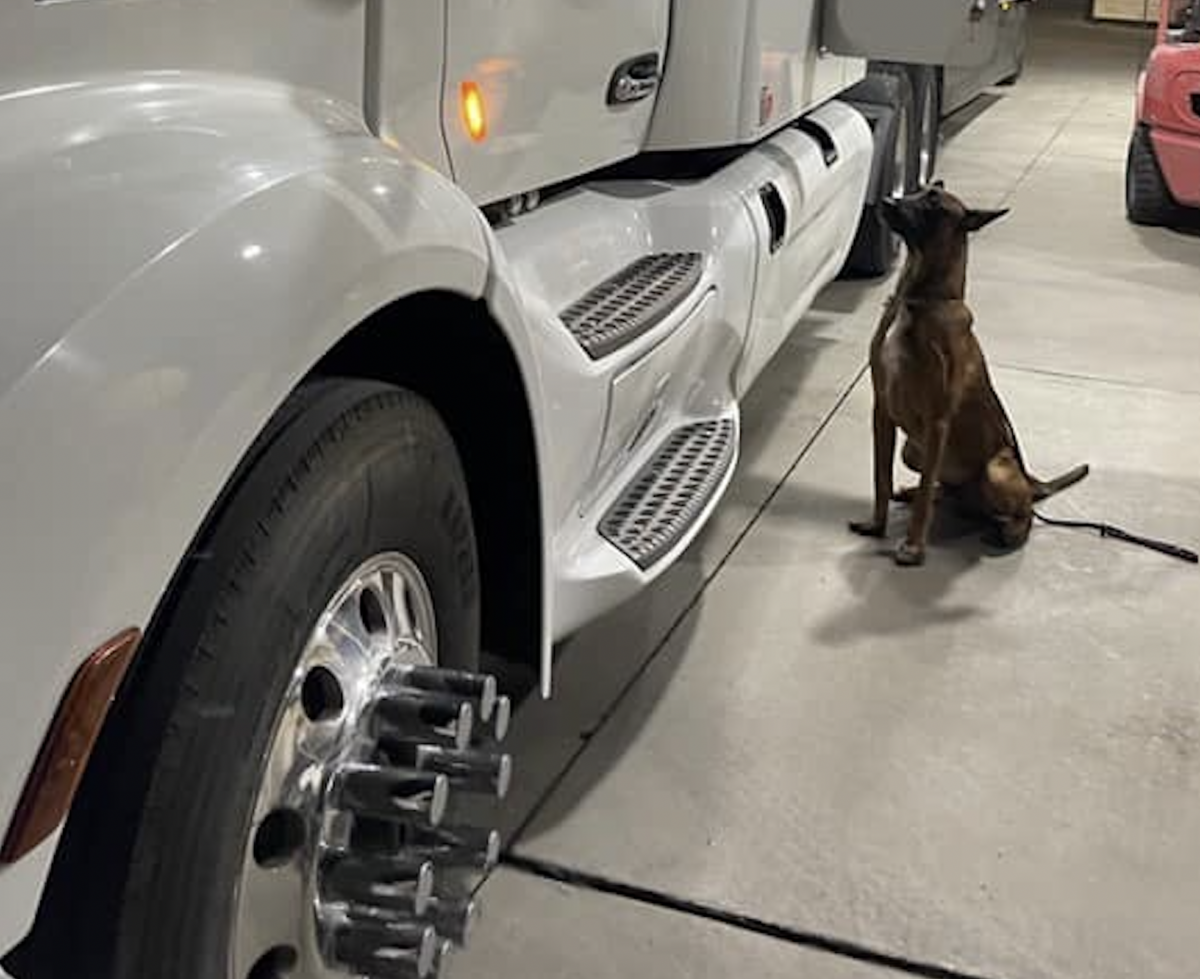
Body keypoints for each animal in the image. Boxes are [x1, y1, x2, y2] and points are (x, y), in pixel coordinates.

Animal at [854, 184, 1089, 566]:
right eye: (916, 191)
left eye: (933, 205)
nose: (887, 200)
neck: (920, 300)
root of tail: (1031, 481)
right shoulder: (883, 411)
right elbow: (881, 478)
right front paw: (877, 525)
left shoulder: (937, 422)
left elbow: (921, 501)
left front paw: (913, 547)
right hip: (912, 450)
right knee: (944, 489)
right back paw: (925, 493)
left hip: (995, 468)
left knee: (1023, 513)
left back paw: (1009, 531)